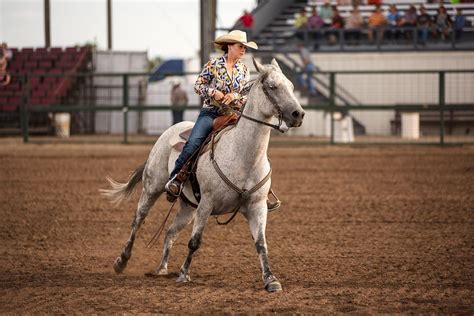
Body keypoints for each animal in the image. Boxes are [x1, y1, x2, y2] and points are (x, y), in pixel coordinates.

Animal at [101, 58, 306, 292]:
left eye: (291, 86)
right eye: (273, 86)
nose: (298, 114)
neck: (243, 156)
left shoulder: (257, 206)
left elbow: (261, 243)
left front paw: (271, 280)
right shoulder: (207, 204)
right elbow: (195, 241)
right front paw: (183, 274)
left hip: (188, 207)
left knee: (170, 232)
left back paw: (162, 268)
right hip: (152, 189)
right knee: (137, 221)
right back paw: (121, 261)